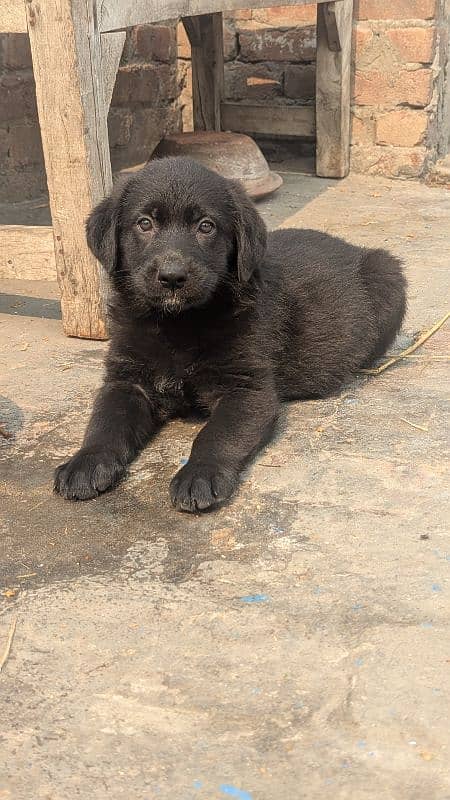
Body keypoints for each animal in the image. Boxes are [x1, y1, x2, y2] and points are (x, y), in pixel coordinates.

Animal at [53, 156, 408, 512]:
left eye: (206, 226)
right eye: (144, 223)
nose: (172, 277)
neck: (178, 324)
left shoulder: (247, 388)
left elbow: (217, 434)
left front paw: (200, 473)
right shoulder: (126, 379)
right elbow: (105, 422)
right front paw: (85, 461)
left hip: (387, 274)